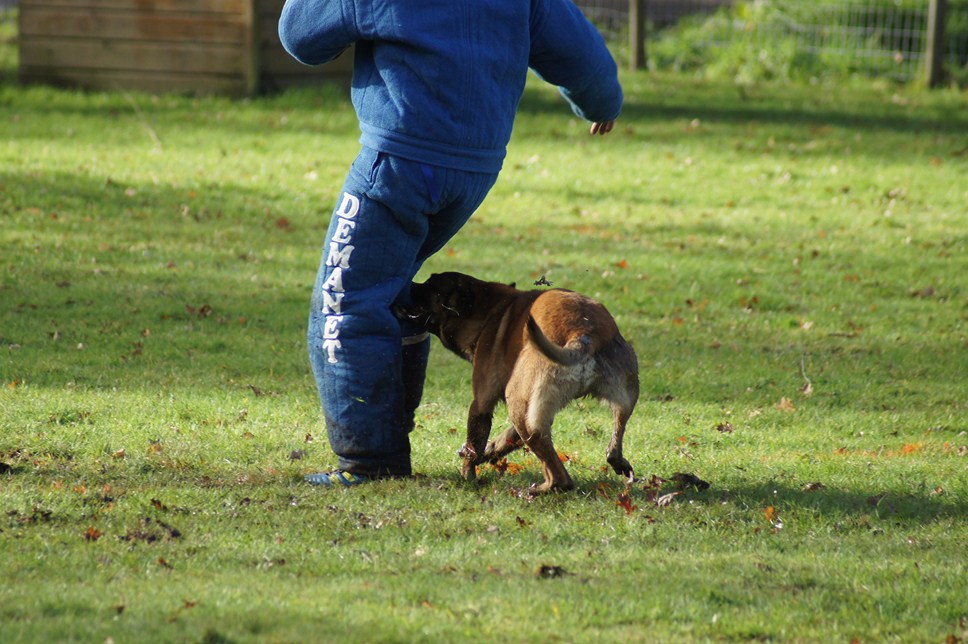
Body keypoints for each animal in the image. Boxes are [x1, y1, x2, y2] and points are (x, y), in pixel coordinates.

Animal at [398, 272, 640, 494]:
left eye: (430, 284)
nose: (405, 285)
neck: (490, 311)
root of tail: (584, 333)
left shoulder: (481, 404)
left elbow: (473, 446)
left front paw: (467, 476)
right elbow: (506, 438)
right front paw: (490, 451)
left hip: (515, 399)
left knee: (560, 478)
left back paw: (536, 490)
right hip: (624, 397)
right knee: (614, 441)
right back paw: (618, 462)